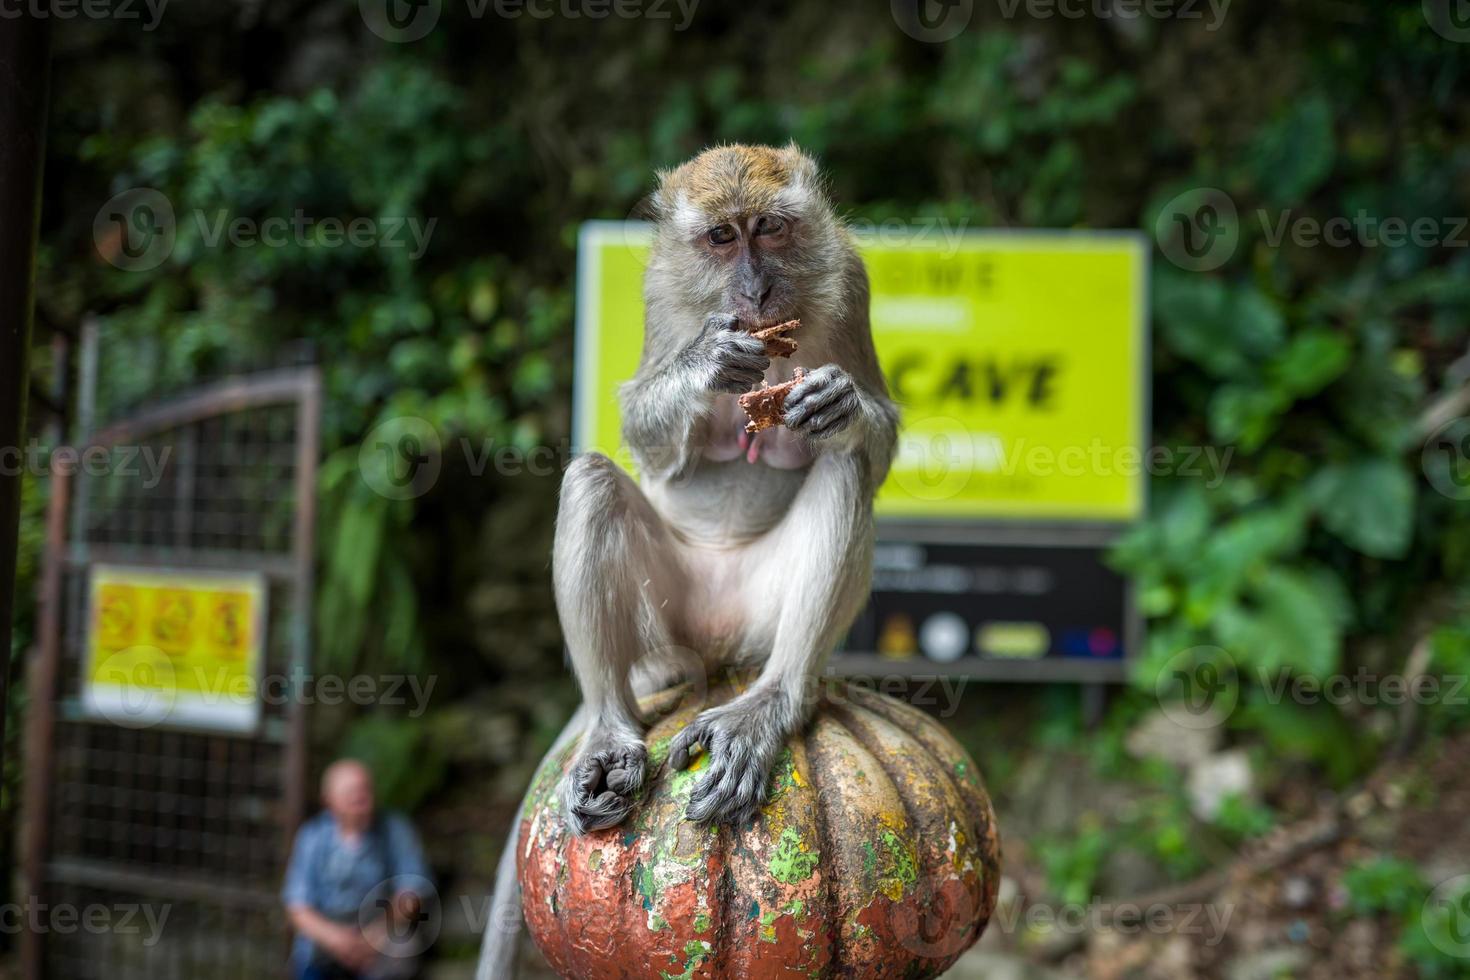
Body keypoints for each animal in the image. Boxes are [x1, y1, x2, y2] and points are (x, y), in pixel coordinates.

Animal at [479, 145, 893, 980]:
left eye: (769, 229)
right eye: (722, 239)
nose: (755, 289)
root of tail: (718, 649)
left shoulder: (852, 277)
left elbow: (881, 438)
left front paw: (839, 403)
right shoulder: (660, 293)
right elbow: (644, 428)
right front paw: (708, 361)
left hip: (760, 621)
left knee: (843, 469)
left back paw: (773, 703)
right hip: (667, 624)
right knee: (592, 482)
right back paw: (611, 730)